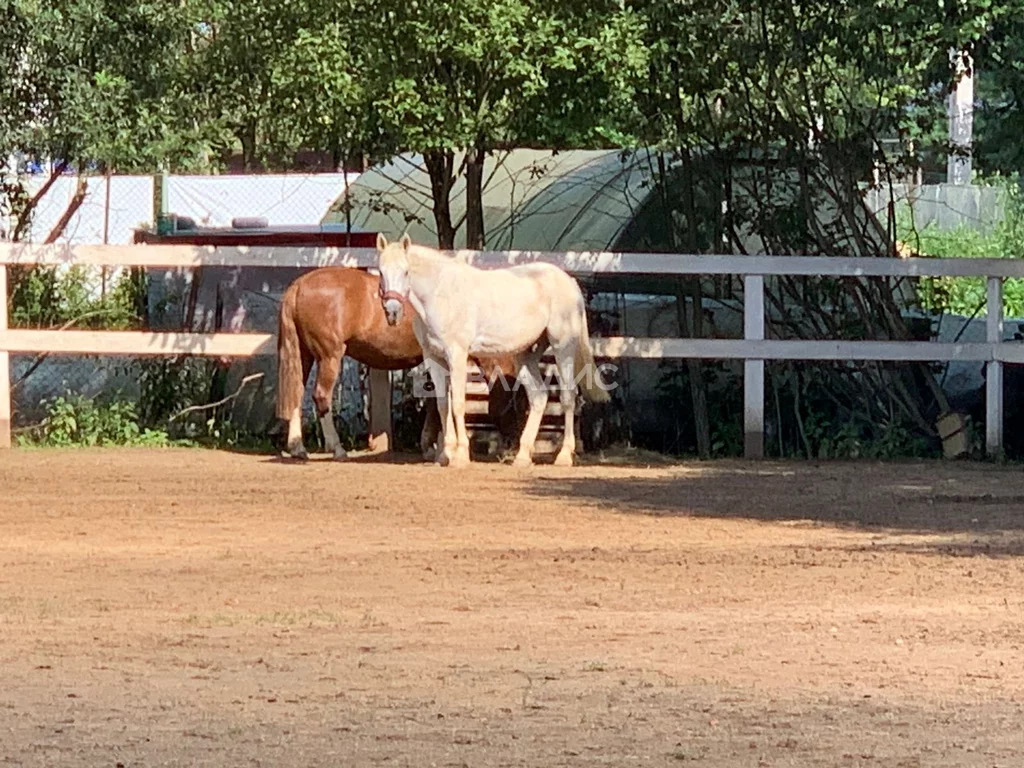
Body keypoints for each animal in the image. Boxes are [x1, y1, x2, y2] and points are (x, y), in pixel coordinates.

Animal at [274, 268, 520, 460]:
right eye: (518, 400)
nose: (511, 446)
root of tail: (299, 285)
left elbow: (434, 401)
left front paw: (430, 446)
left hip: (303, 354)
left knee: (296, 393)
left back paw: (297, 447)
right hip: (329, 355)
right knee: (321, 396)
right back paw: (337, 449)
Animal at [378, 231, 606, 466]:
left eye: (406, 271)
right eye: (381, 272)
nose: (392, 312)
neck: (441, 293)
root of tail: (569, 281)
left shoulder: (457, 354)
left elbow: (457, 403)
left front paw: (460, 456)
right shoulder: (434, 357)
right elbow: (442, 404)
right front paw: (444, 455)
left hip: (563, 347)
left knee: (568, 397)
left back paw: (564, 456)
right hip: (526, 356)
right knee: (539, 397)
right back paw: (523, 457)